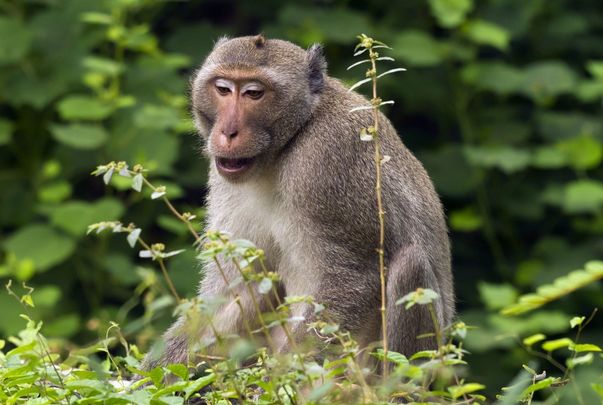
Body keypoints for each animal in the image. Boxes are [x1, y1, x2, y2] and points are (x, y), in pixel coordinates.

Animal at [144, 34, 456, 372]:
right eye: (223, 89)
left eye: (254, 93)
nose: (227, 132)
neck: (288, 142)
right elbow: (233, 288)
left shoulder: (328, 159)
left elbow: (355, 276)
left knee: (410, 264)